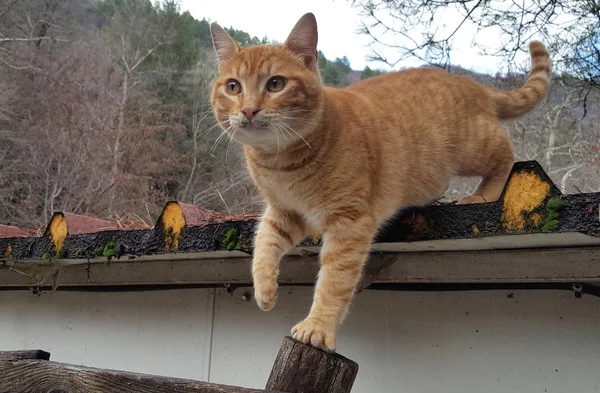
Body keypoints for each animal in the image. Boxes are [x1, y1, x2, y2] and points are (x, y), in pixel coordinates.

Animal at [209, 12, 552, 350]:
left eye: (276, 84)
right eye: (233, 87)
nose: (249, 110)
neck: (279, 163)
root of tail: (469, 81)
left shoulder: (348, 222)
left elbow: (333, 281)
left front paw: (318, 327)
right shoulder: (285, 212)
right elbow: (264, 243)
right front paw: (265, 291)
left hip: (475, 147)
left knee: (505, 153)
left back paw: (484, 194)